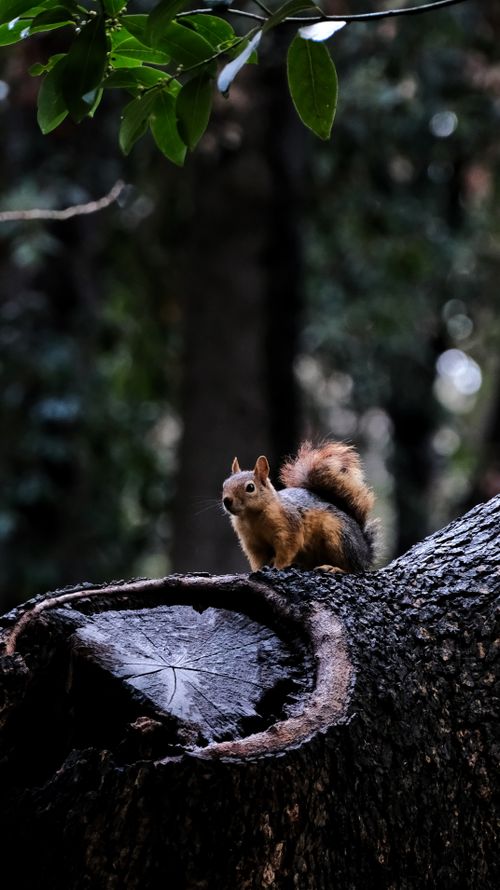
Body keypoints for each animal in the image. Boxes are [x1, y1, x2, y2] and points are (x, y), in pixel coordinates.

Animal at [222, 441, 377, 573]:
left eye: (250, 487)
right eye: (224, 484)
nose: (226, 501)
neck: (251, 517)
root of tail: (365, 552)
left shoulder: (289, 526)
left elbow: (287, 549)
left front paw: (278, 567)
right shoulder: (253, 543)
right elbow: (258, 560)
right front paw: (258, 570)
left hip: (339, 538)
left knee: (353, 568)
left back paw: (334, 568)